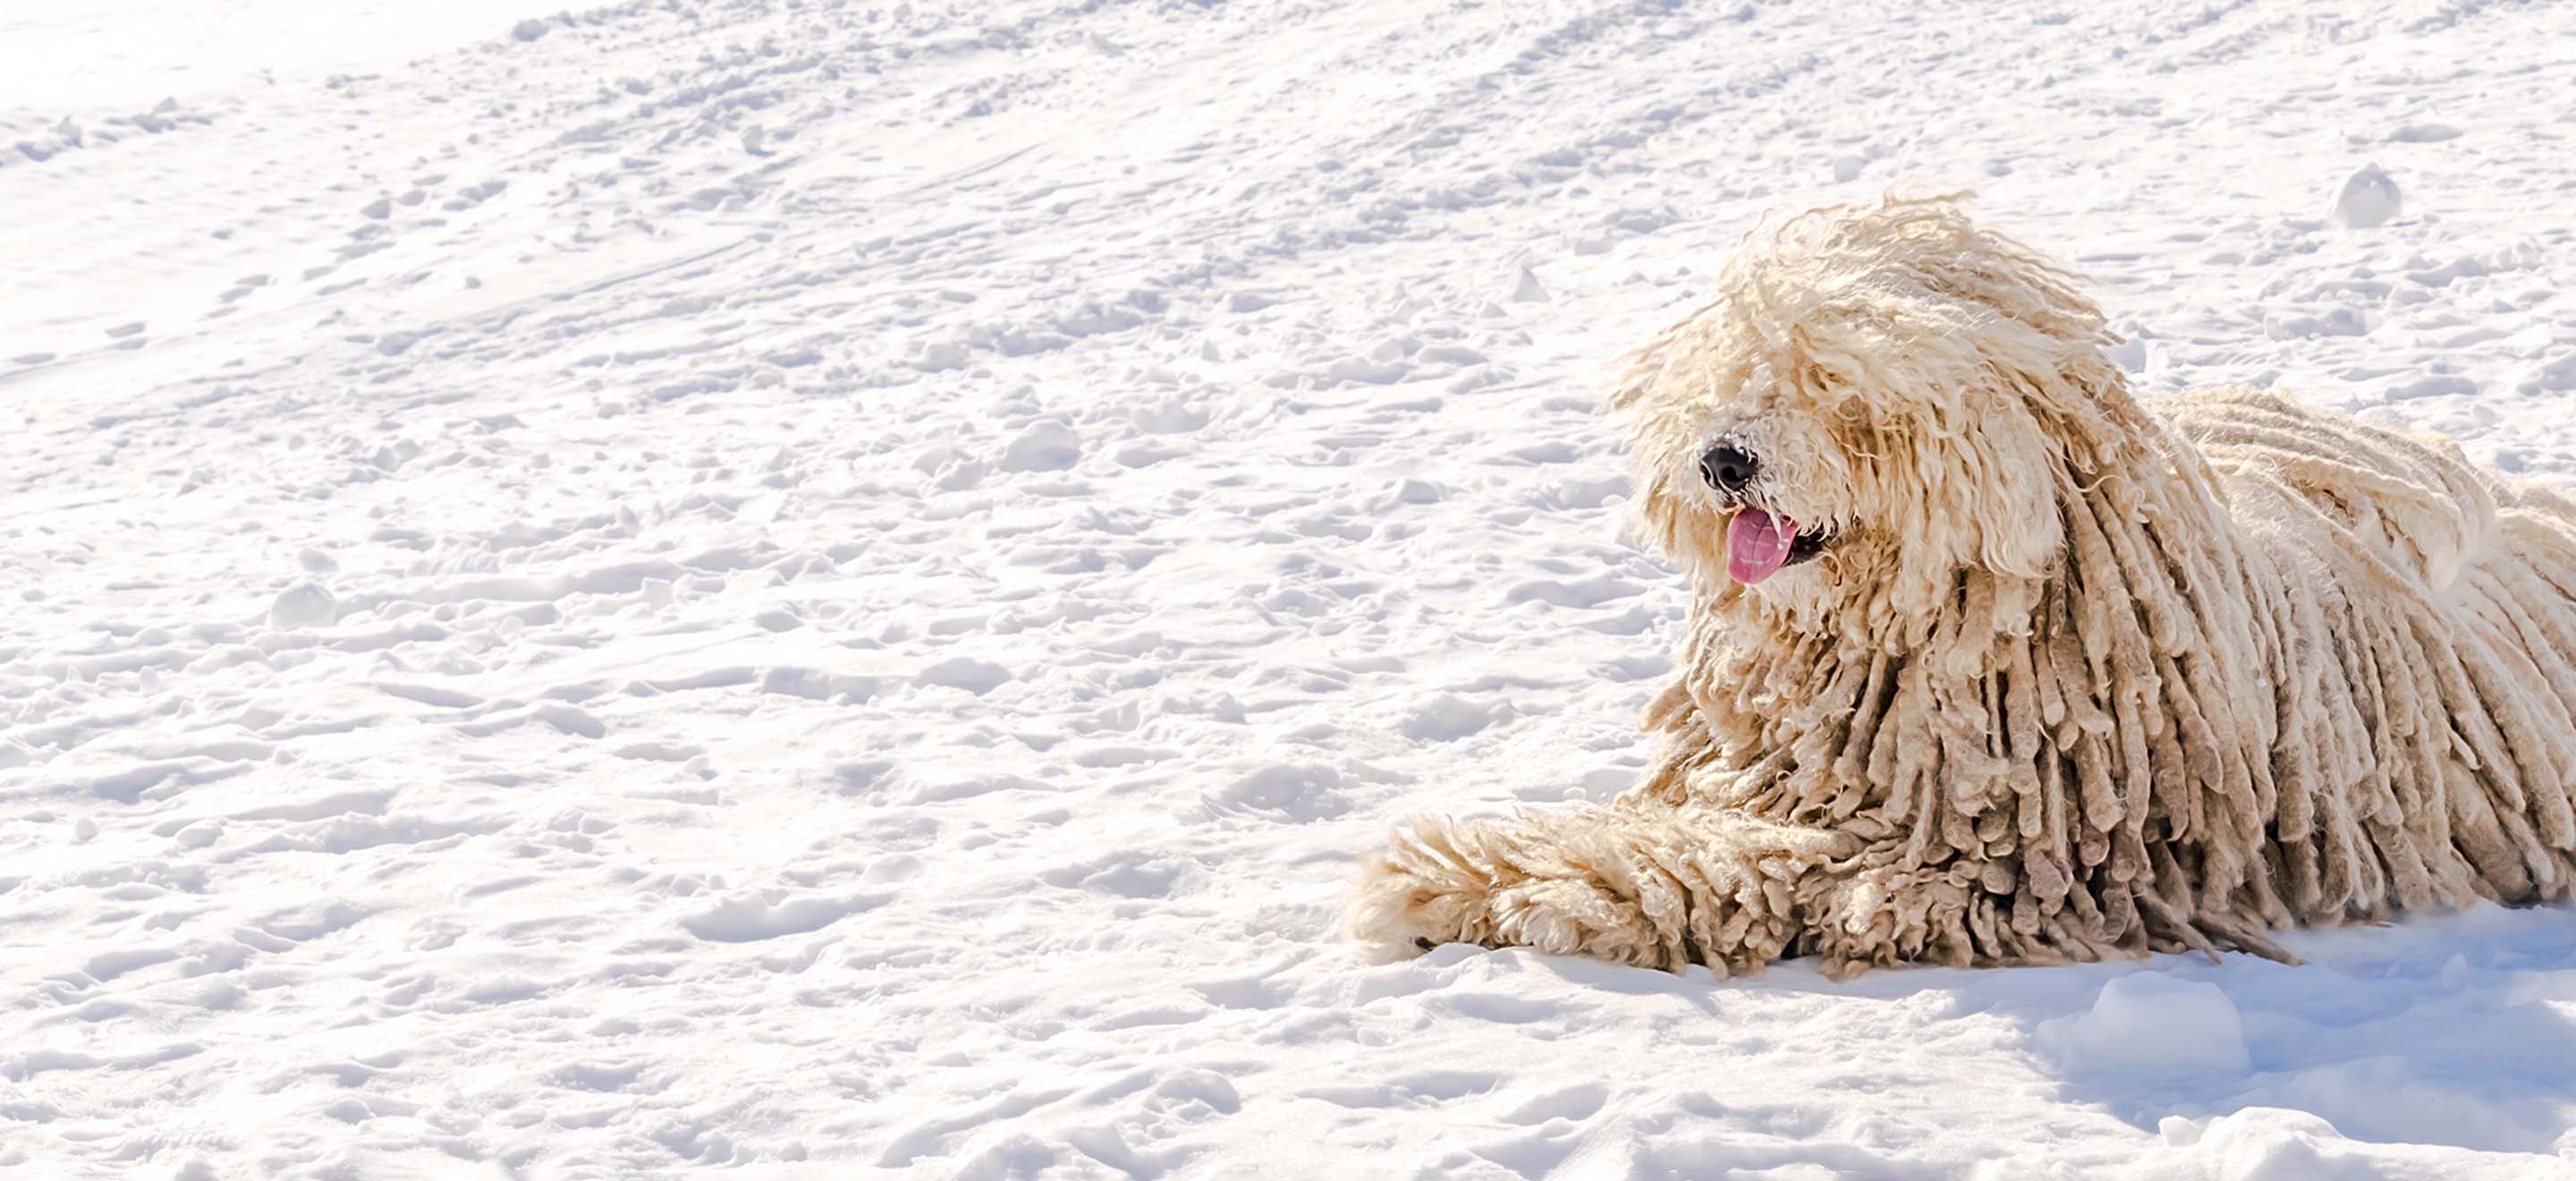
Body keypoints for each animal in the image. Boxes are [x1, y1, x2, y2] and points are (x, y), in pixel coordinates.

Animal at [1339, 191, 2576, 980]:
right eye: (1734, 370)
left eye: (1838, 386)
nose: (1725, 460)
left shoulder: (1982, 861)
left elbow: (1729, 867)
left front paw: (1469, 879)